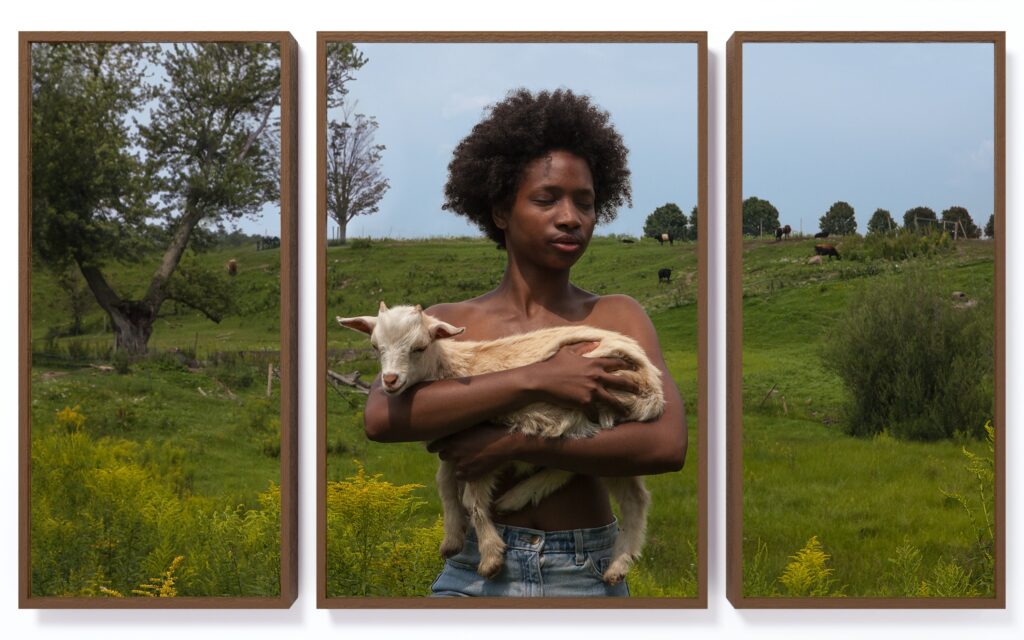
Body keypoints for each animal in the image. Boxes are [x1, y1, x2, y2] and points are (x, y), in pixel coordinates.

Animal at [339, 301, 667, 581]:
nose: (390, 381)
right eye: (375, 347)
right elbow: (444, 485)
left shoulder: (477, 449)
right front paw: (452, 539)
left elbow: (471, 499)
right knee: (621, 486)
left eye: (419, 347)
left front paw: (490, 557)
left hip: (606, 403)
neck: (451, 368)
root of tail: (653, 382)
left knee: (612, 480)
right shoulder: (451, 447)